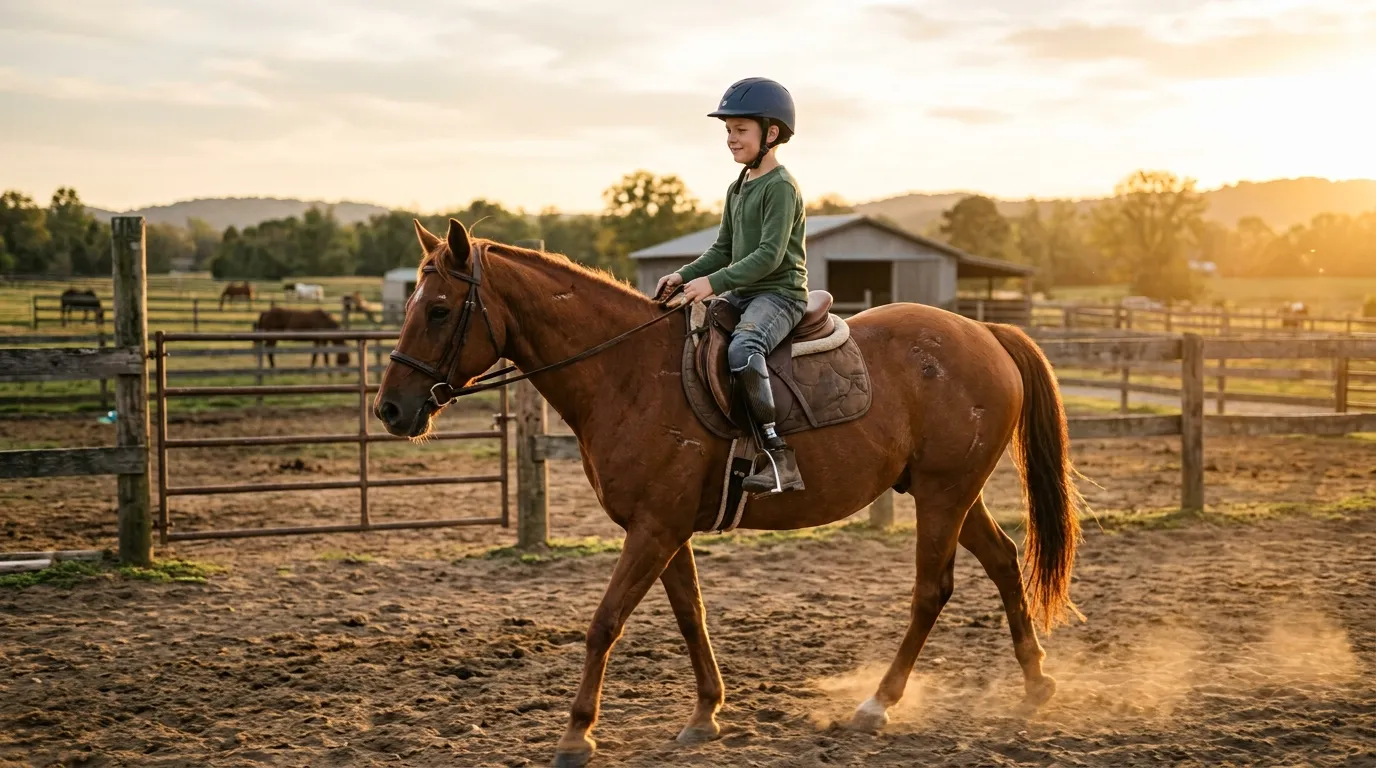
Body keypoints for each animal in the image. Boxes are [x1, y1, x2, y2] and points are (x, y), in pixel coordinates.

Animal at [374, 220, 1083, 767]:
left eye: (439, 310)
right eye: (411, 306)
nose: (390, 410)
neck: (629, 374)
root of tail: (986, 334)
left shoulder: (653, 530)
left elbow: (605, 622)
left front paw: (577, 735)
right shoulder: (664, 528)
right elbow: (691, 616)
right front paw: (705, 715)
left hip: (942, 495)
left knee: (932, 591)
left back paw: (877, 704)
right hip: (951, 493)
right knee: (1003, 560)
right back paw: (1036, 681)